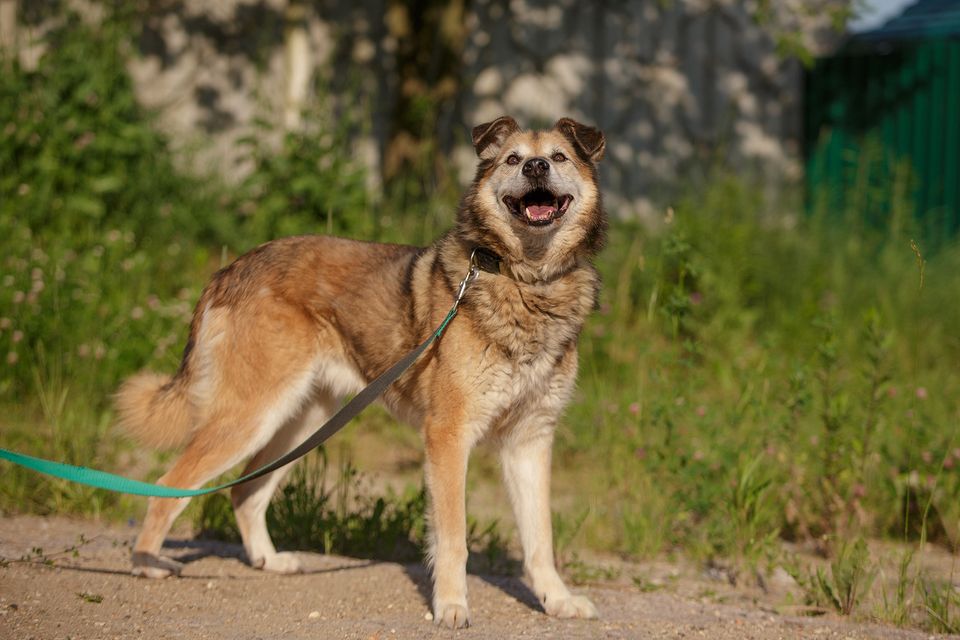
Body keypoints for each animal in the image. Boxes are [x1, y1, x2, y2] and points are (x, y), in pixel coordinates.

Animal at [116, 112, 604, 628]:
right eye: (513, 159)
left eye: (558, 157)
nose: (535, 167)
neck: (526, 281)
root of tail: (230, 269)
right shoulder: (449, 437)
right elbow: (453, 539)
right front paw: (451, 605)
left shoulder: (530, 441)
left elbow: (540, 542)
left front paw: (557, 599)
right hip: (250, 416)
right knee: (168, 486)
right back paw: (146, 562)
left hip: (301, 420)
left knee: (245, 491)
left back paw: (269, 560)